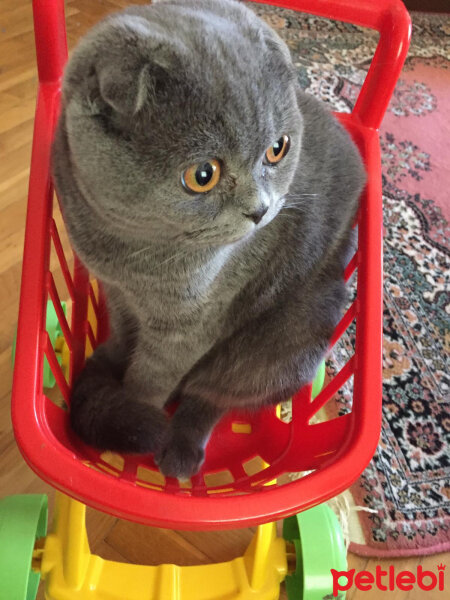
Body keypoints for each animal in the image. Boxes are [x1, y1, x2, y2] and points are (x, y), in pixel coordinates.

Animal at [51, 0, 366, 478]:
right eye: (204, 175)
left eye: (278, 148)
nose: (260, 210)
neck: (127, 250)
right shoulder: (116, 293)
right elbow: (124, 339)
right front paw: (111, 363)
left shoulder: (189, 326)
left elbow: (151, 380)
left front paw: (133, 409)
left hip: (291, 340)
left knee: (215, 394)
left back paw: (177, 449)